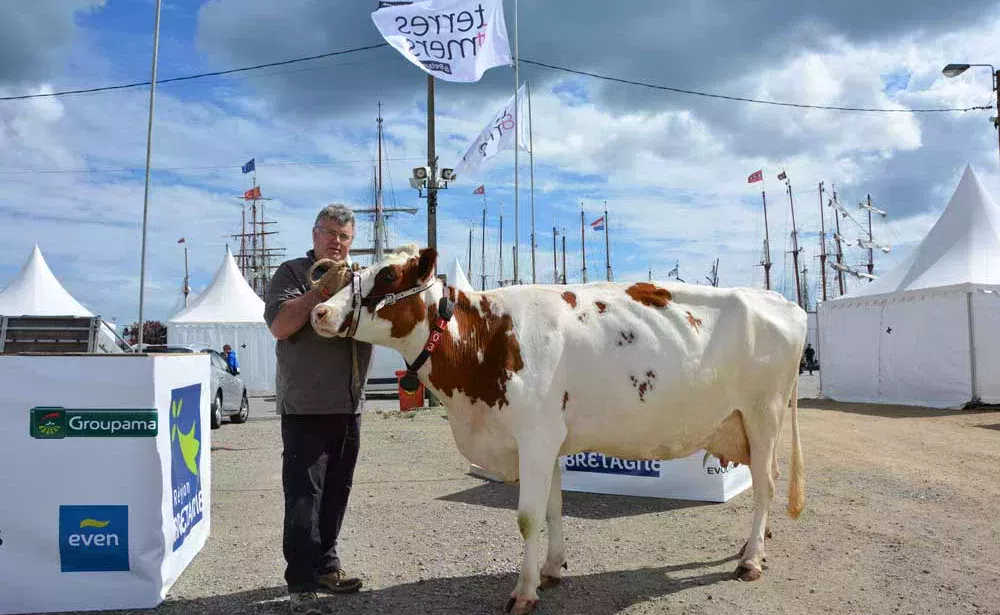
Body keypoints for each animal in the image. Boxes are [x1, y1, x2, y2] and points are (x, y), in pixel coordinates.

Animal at [308, 247, 808, 615]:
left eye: (388, 275)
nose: (318, 312)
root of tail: (783, 302)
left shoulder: (535, 436)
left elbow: (528, 517)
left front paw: (524, 591)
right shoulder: (548, 442)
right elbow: (553, 507)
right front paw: (551, 570)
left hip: (762, 414)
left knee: (765, 484)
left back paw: (750, 560)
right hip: (748, 423)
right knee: (768, 478)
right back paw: (753, 546)